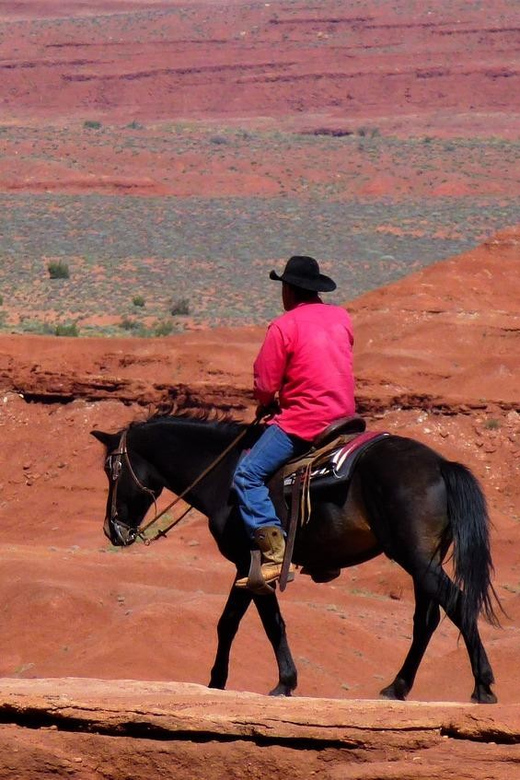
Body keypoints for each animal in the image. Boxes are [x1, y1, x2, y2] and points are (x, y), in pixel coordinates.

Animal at [92, 412, 500, 704]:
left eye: (112, 470)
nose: (113, 530)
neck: (224, 473)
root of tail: (441, 465)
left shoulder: (254, 564)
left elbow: (271, 623)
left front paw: (284, 682)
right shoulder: (243, 568)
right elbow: (228, 623)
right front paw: (216, 682)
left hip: (416, 558)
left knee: (458, 604)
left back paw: (482, 687)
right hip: (422, 561)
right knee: (427, 620)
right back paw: (396, 687)